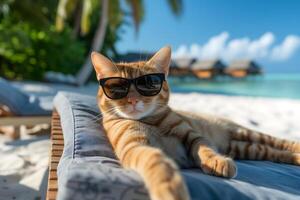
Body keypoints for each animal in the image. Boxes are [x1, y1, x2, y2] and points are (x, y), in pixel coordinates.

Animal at [91, 46, 300, 200]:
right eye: (117, 87)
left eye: (148, 83)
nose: (133, 100)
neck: (151, 121)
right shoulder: (134, 146)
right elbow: (157, 161)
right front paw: (170, 188)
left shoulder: (191, 135)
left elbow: (204, 148)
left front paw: (217, 161)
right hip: (247, 148)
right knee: (276, 153)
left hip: (246, 133)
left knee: (281, 143)